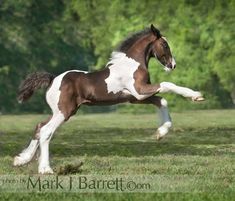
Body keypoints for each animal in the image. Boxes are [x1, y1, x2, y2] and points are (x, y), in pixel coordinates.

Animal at [13, 24, 204, 174]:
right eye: (164, 44)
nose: (173, 65)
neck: (132, 64)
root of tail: (53, 79)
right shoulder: (139, 91)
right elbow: (167, 84)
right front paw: (195, 95)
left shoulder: (135, 97)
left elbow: (162, 101)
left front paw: (161, 132)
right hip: (64, 112)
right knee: (46, 131)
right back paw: (45, 169)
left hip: (62, 111)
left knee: (39, 126)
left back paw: (21, 160)